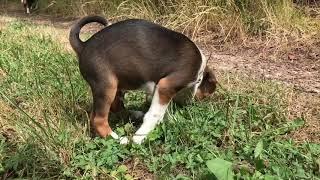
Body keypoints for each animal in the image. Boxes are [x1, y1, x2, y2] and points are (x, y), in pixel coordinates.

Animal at [69, 15, 218, 145]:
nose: (192, 105)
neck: (199, 72)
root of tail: (83, 45)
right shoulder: (166, 86)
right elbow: (154, 114)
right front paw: (139, 137)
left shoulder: (157, 90)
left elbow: (162, 111)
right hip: (106, 85)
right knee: (98, 119)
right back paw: (118, 139)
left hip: (117, 84)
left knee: (116, 107)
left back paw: (135, 115)